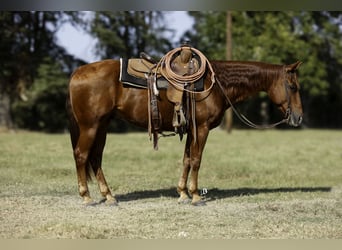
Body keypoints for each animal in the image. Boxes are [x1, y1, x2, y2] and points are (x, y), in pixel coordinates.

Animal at [66, 58, 302, 205]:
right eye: (293, 87)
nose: (299, 117)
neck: (214, 84)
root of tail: (77, 73)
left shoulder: (191, 130)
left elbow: (187, 159)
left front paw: (182, 193)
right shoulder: (202, 128)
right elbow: (196, 160)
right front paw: (196, 195)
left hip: (102, 126)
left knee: (95, 158)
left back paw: (108, 196)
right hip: (90, 126)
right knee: (81, 155)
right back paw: (86, 197)